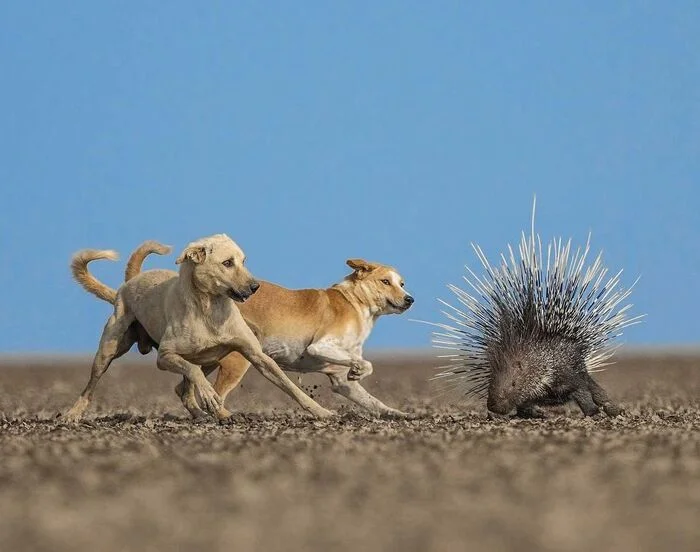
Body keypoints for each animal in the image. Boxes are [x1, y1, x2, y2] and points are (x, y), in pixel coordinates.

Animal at [64, 234, 332, 422]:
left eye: (243, 260)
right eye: (227, 263)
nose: (255, 287)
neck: (210, 309)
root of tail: (129, 282)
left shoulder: (256, 354)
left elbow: (289, 385)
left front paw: (321, 411)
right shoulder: (165, 356)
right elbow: (193, 373)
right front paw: (209, 396)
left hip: (213, 358)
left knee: (184, 389)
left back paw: (211, 414)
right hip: (109, 349)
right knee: (91, 385)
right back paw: (72, 414)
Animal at [127, 242, 416, 418]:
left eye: (401, 283)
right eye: (385, 281)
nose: (410, 299)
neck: (356, 302)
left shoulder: (342, 381)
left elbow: (375, 401)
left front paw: (400, 415)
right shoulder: (320, 346)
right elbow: (364, 362)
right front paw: (359, 368)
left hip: (210, 356)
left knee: (183, 387)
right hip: (237, 362)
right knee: (215, 395)